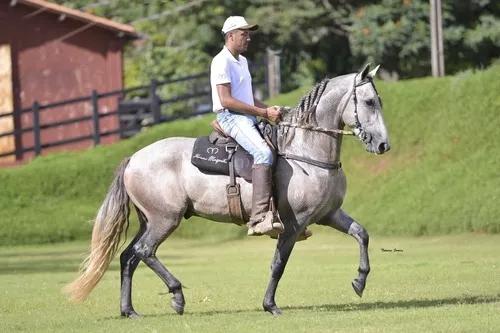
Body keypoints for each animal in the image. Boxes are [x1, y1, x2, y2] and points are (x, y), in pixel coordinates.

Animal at [63, 63, 390, 316]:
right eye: (369, 102)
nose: (383, 145)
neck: (305, 150)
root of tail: (134, 158)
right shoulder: (293, 224)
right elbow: (278, 264)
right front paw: (270, 305)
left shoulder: (329, 214)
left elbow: (361, 234)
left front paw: (360, 281)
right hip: (164, 219)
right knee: (144, 252)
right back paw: (177, 295)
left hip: (149, 221)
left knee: (128, 257)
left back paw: (129, 310)